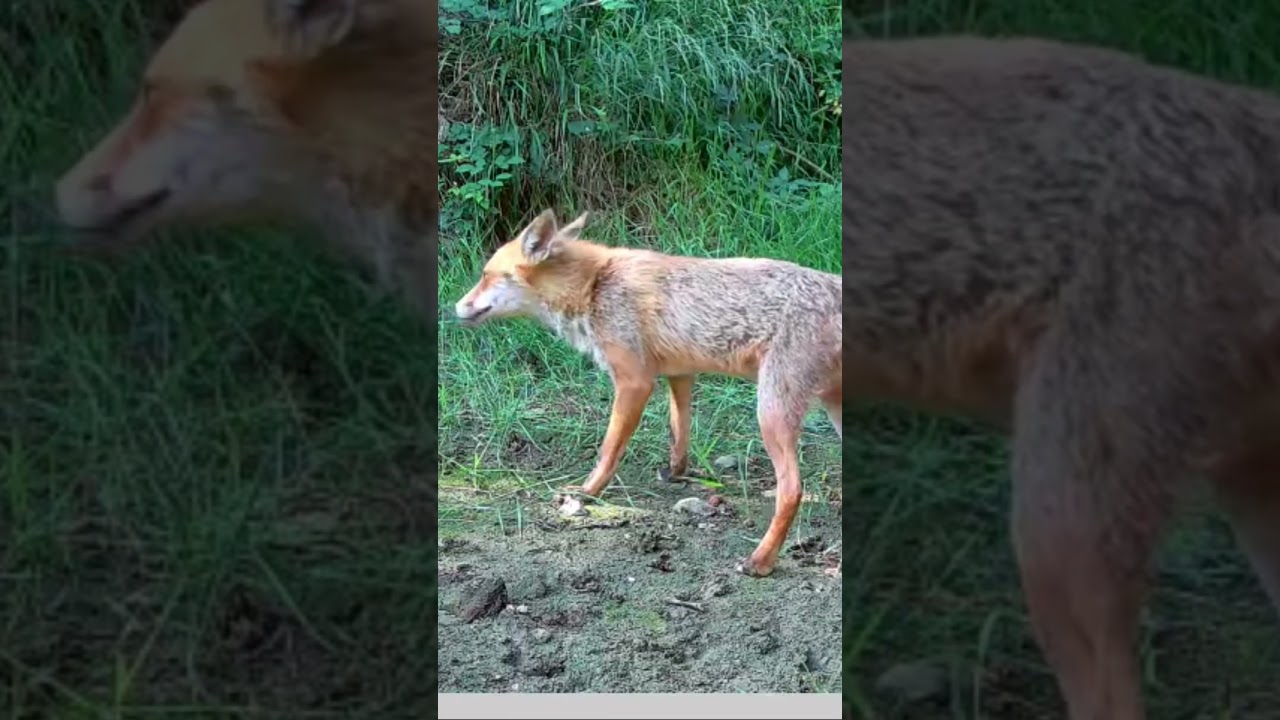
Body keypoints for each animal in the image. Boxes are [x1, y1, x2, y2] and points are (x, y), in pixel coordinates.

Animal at [453, 209, 842, 578]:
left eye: (486, 275)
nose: (454, 308)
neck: (595, 285)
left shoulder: (634, 381)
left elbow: (609, 450)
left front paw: (587, 492)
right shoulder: (680, 373)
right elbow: (678, 430)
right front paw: (676, 472)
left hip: (771, 412)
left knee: (792, 490)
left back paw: (760, 560)